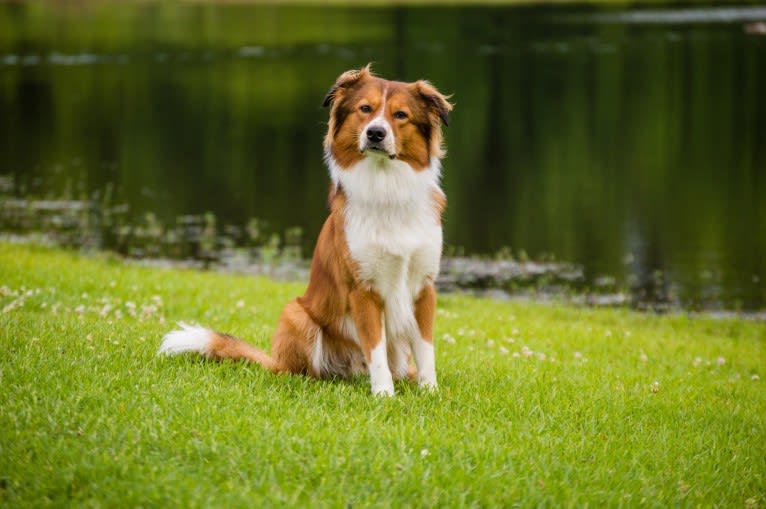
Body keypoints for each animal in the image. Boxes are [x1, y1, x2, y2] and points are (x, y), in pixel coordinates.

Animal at [159, 64, 452, 396]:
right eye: (365, 109)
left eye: (400, 115)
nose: (375, 133)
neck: (387, 187)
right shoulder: (363, 290)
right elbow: (376, 350)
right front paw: (384, 395)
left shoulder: (424, 287)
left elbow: (426, 349)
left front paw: (430, 392)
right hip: (296, 313)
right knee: (303, 371)